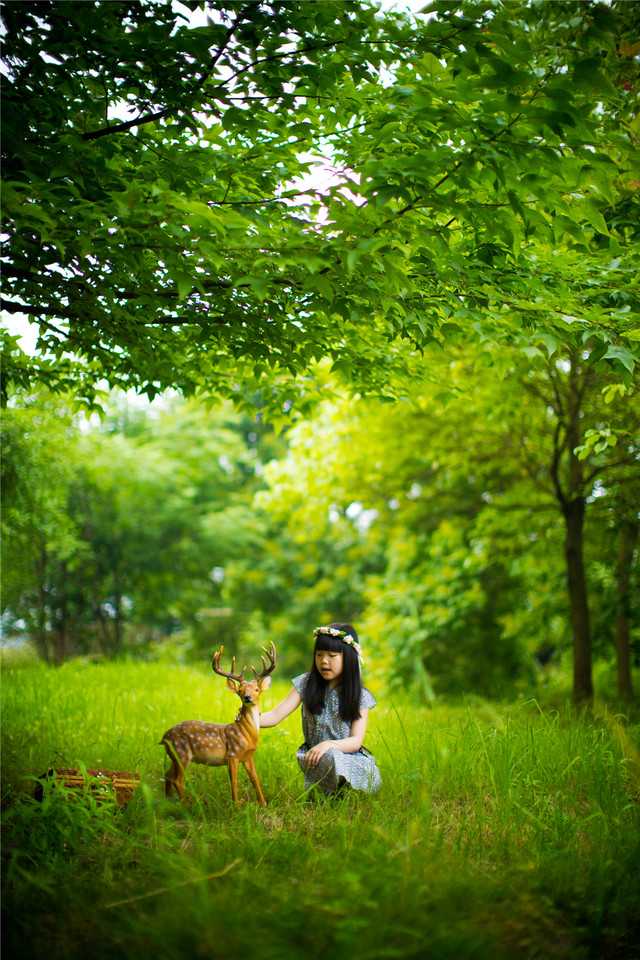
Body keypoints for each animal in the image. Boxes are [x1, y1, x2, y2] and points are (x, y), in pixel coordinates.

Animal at [159, 640, 276, 808]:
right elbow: (234, 782)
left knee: (168, 775)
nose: (247, 697)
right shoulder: (232, 754)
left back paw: (168, 802)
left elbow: (255, 779)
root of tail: (164, 737)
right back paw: (187, 805)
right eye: (240, 690)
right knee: (177, 779)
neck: (247, 734)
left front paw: (263, 803)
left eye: (256, 689)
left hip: (174, 756)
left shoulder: (248, 756)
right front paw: (237, 806)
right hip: (181, 752)